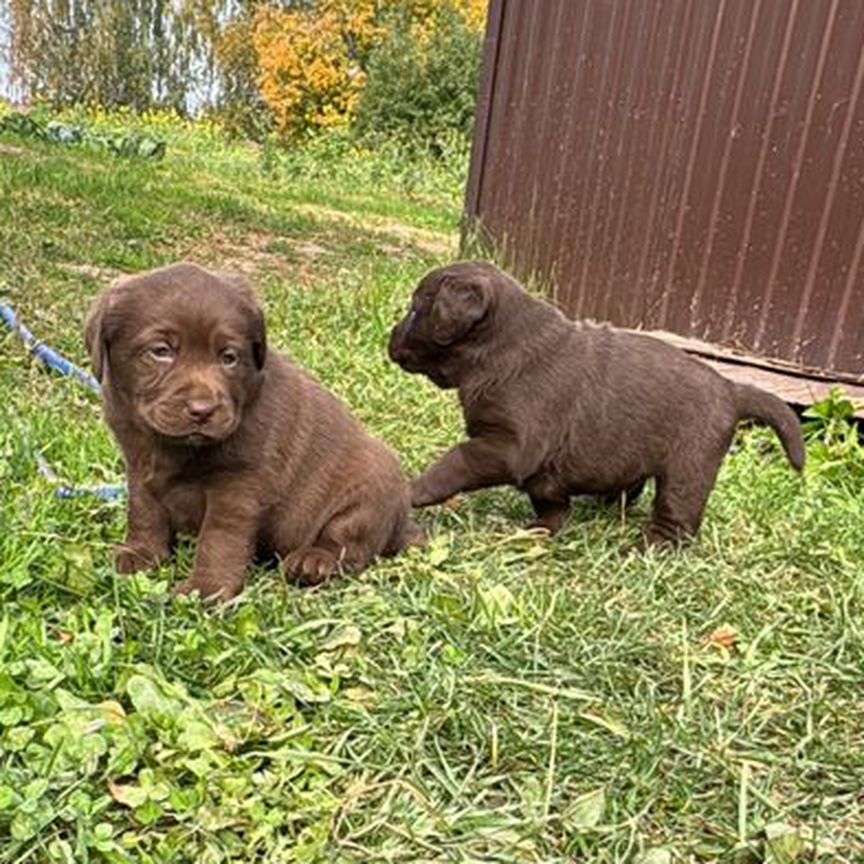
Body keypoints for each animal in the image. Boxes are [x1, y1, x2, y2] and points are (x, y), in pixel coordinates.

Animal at [86, 262, 416, 600]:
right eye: (161, 351)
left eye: (229, 357)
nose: (203, 410)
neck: (169, 445)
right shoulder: (138, 465)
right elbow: (143, 510)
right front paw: (141, 555)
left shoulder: (239, 484)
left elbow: (220, 537)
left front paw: (207, 589)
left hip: (370, 493)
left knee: (348, 545)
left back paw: (312, 562)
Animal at [388, 264, 808, 544]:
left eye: (415, 309)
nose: (389, 334)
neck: (498, 347)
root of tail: (732, 388)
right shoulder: (540, 465)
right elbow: (551, 502)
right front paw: (541, 530)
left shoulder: (509, 447)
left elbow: (457, 460)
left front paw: (416, 490)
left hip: (689, 467)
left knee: (677, 515)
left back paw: (650, 548)